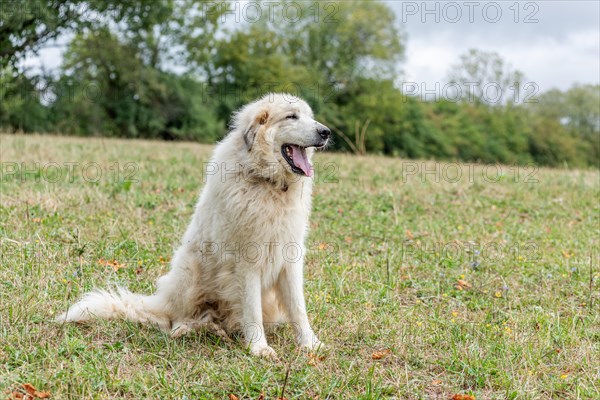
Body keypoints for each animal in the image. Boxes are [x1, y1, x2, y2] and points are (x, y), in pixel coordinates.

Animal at [56, 94, 330, 360]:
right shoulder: (247, 261)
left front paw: (310, 344)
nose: (326, 132)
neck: (268, 183)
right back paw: (189, 328)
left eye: (309, 116)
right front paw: (259, 348)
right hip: (191, 268)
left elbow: (298, 308)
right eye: (291, 116)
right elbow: (252, 310)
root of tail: (162, 302)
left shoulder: (290, 258)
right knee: (177, 318)